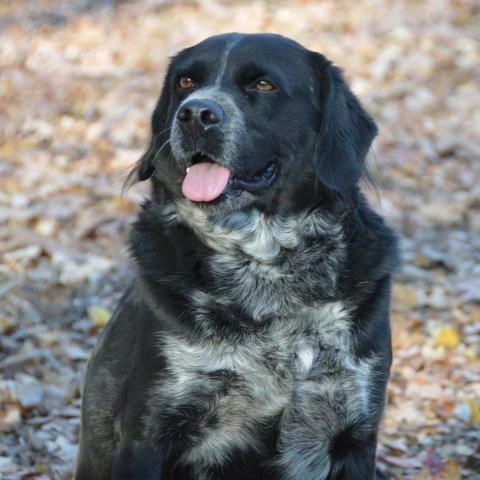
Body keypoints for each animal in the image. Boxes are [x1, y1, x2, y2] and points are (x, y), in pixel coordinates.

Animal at [75, 31, 398, 478]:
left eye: (263, 85)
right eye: (185, 82)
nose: (195, 114)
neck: (267, 268)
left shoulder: (354, 431)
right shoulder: (147, 433)